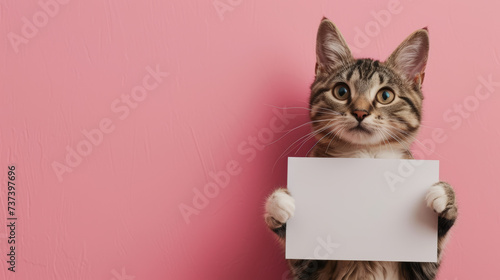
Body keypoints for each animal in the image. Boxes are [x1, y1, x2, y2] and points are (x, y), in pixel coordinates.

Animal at [266, 18, 458, 280]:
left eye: (386, 95)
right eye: (341, 91)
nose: (360, 112)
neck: (364, 157)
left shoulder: (421, 270)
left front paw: (445, 196)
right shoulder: (306, 269)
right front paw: (278, 203)